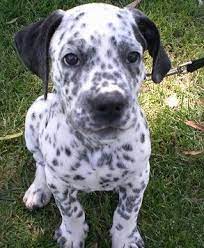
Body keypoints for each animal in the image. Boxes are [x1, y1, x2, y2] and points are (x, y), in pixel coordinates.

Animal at [14, 2, 171, 248]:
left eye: (133, 56)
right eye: (71, 58)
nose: (109, 103)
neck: (97, 146)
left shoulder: (138, 178)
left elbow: (126, 213)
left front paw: (125, 239)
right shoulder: (60, 184)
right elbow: (72, 211)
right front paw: (72, 236)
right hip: (34, 114)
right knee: (40, 162)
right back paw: (38, 189)